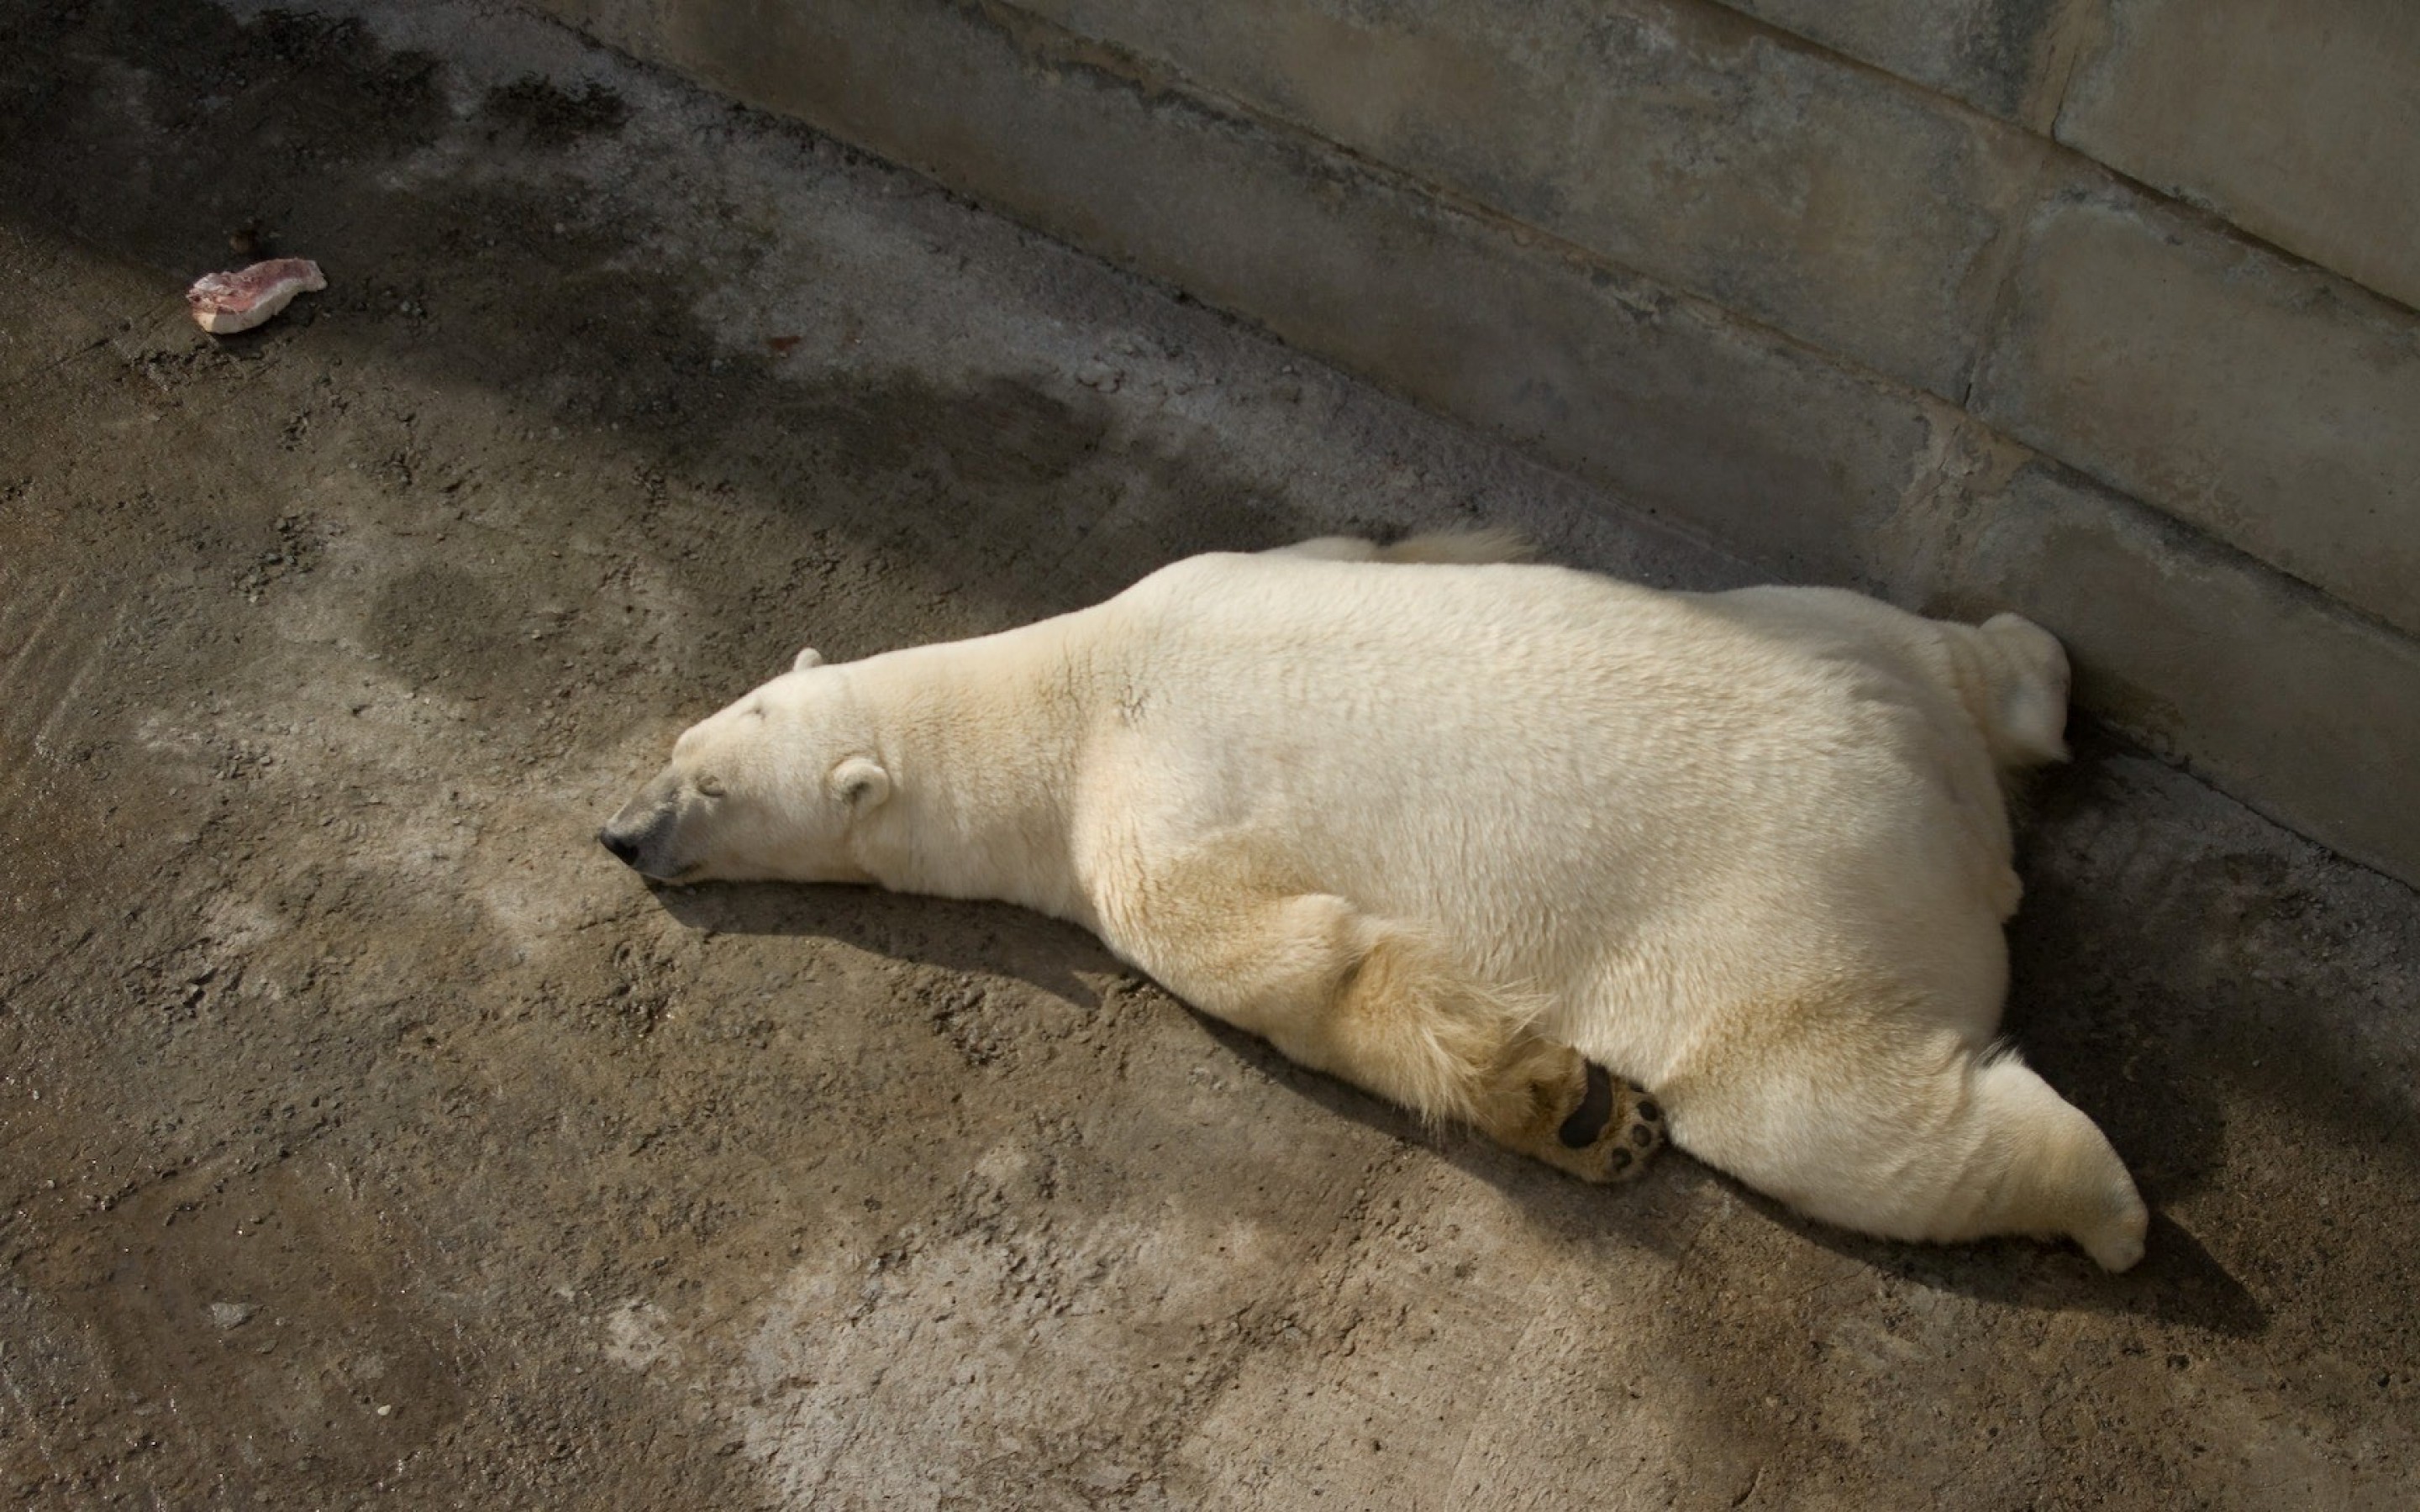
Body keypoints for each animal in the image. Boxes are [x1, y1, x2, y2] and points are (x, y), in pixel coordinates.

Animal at [605, 537, 2158, 1268]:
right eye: (679, 746)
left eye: (713, 790)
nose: (621, 833)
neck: (1069, 690)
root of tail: (1940, 804)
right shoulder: (1237, 569)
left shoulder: (1141, 825)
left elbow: (1300, 962)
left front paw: (1566, 1102)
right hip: (1838, 629)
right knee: (1971, 648)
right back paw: (2037, 671)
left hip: (1781, 924)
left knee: (1835, 1117)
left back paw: (2108, 1210)